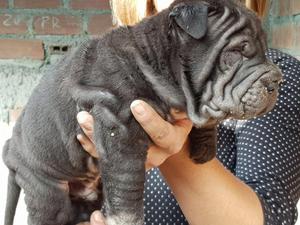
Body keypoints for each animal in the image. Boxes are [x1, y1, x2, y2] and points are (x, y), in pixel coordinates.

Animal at [3, 0, 282, 225]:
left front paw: (204, 149)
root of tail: (10, 151)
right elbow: (127, 183)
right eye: (235, 53)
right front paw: (126, 220)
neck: (154, 59)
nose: (276, 80)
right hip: (45, 188)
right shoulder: (119, 125)